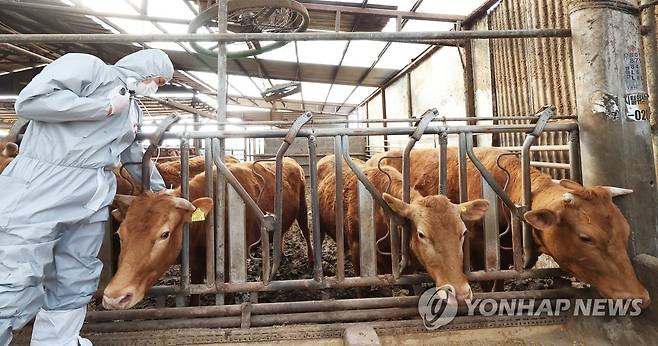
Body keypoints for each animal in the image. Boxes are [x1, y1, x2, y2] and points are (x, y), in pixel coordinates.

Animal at [103, 157, 312, 308]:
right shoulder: (195, 265)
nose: (115, 297)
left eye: (165, 234)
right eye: (120, 234)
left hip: (303, 208)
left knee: (307, 232)